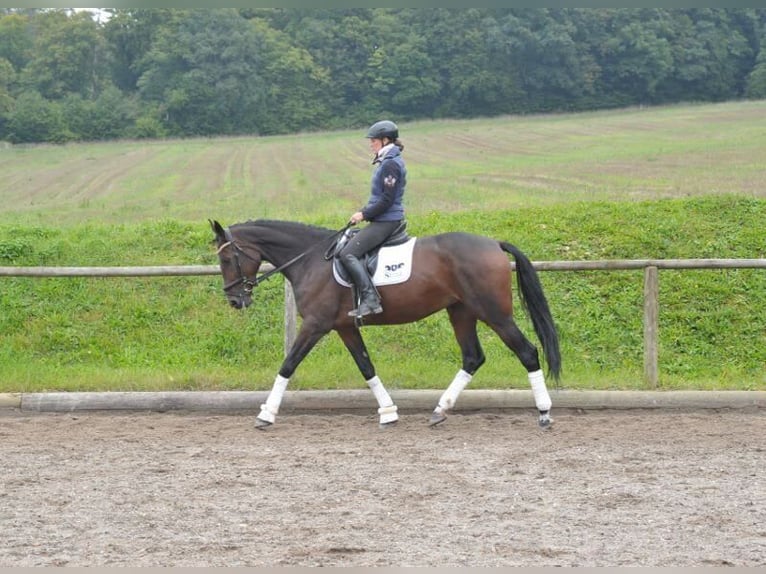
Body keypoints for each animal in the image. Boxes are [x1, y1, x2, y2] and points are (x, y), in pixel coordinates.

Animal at [212, 220, 564, 432]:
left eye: (227, 260)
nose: (234, 300)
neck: (310, 260)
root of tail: (493, 244)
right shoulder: (345, 327)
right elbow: (367, 367)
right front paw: (389, 412)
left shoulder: (315, 325)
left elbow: (287, 365)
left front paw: (266, 414)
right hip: (461, 312)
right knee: (473, 357)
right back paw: (440, 410)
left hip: (494, 313)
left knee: (527, 352)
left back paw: (544, 413)